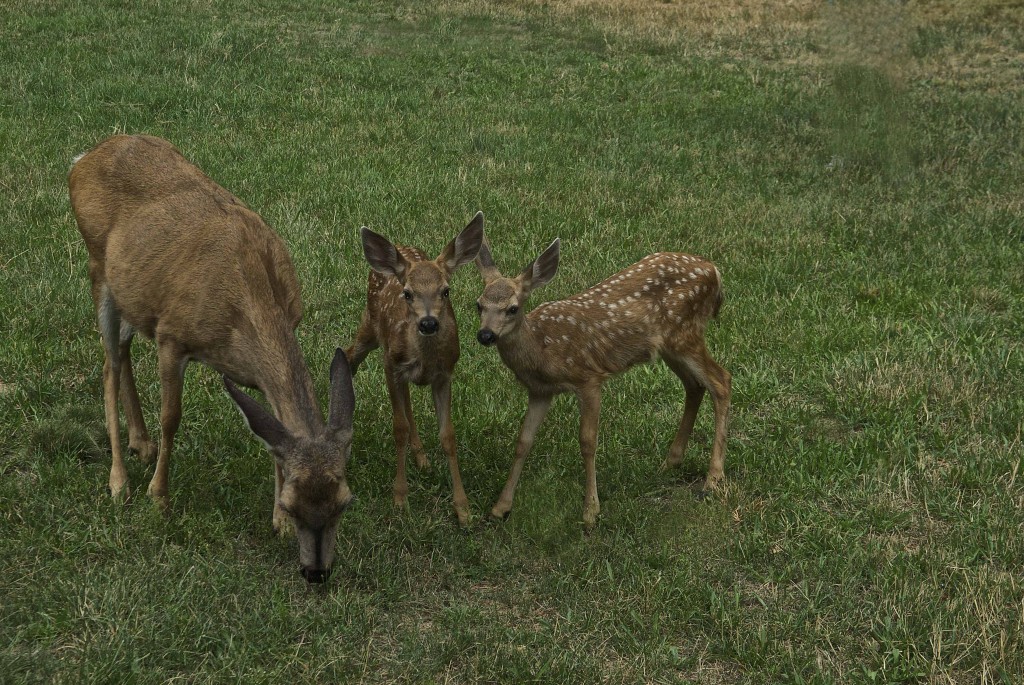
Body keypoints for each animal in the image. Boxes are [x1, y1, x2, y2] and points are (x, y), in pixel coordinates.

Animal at [69, 135, 356, 581]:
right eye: (295, 505)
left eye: (344, 502)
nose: (316, 573)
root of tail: (84, 157)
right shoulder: (172, 336)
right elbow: (172, 418)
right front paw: (159, 497)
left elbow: (271, 429)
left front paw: (275, 523)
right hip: (98, 269)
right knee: (109, 366)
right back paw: (119, 482)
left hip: (131, 291)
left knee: (121, 352)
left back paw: (141, 443)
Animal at [344, 211, 483, 524]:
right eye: (407, 293)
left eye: (446, 291)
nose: (428, 323)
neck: (425, 358)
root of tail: (398, 248)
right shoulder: (390, 365)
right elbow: (398, 428)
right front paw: (399, 499)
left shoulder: (445, 375)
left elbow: (448, 436)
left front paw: (463, 508)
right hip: (370, 329)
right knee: (347, 357)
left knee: (407, 401)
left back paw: (421, 458)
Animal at [475, 237, 733, 528]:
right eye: (478, 305)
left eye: (512, 308)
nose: (485, 335)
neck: (542, 346)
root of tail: (714, 270)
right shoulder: (540, 391)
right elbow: (523, 442)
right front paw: (500, 508)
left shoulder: (588, 378)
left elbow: (588, 442)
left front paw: (590, 512)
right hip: (670, 346)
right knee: (695, 386)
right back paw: (671, 462)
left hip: (685, 334)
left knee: (721, 381)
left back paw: (713, 479)